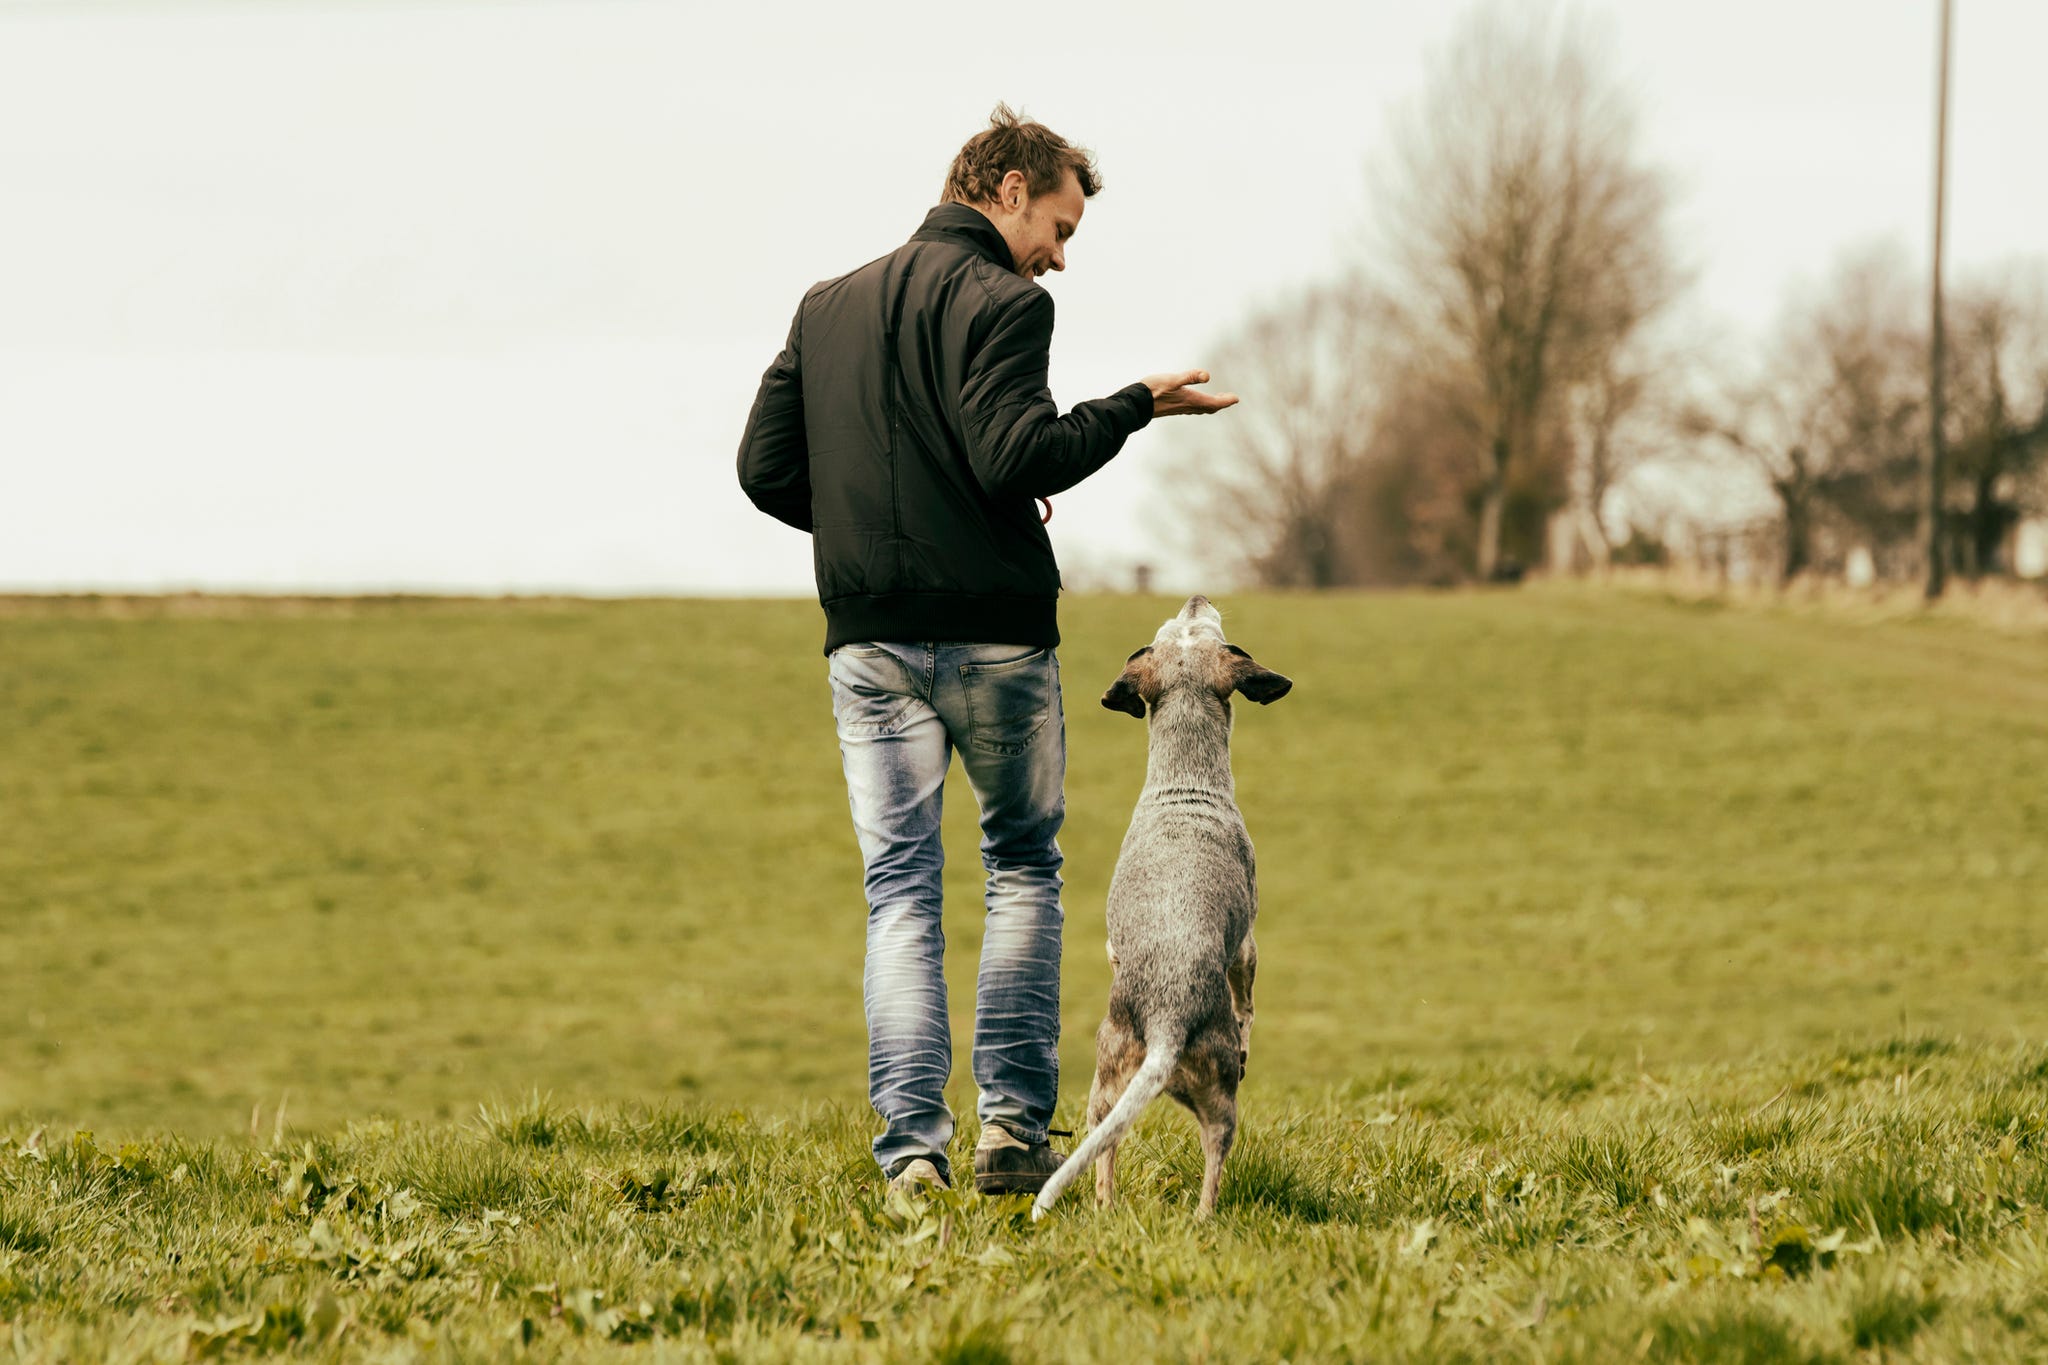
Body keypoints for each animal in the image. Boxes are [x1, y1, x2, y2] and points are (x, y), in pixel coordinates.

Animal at [1032, 593, 1286, 1219]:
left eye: (1177, 628)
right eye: (1196, 625)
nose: (1195, 597)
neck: (1185, 782)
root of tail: (1168, 1024)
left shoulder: (1110, 946)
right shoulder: (1246, 946)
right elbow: (1248, 1002)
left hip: (1107, 1083)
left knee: (1104, 1150)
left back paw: (1105, 1208)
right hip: (1219, 1097)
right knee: (1214, 1158)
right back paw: (1205, 1217)